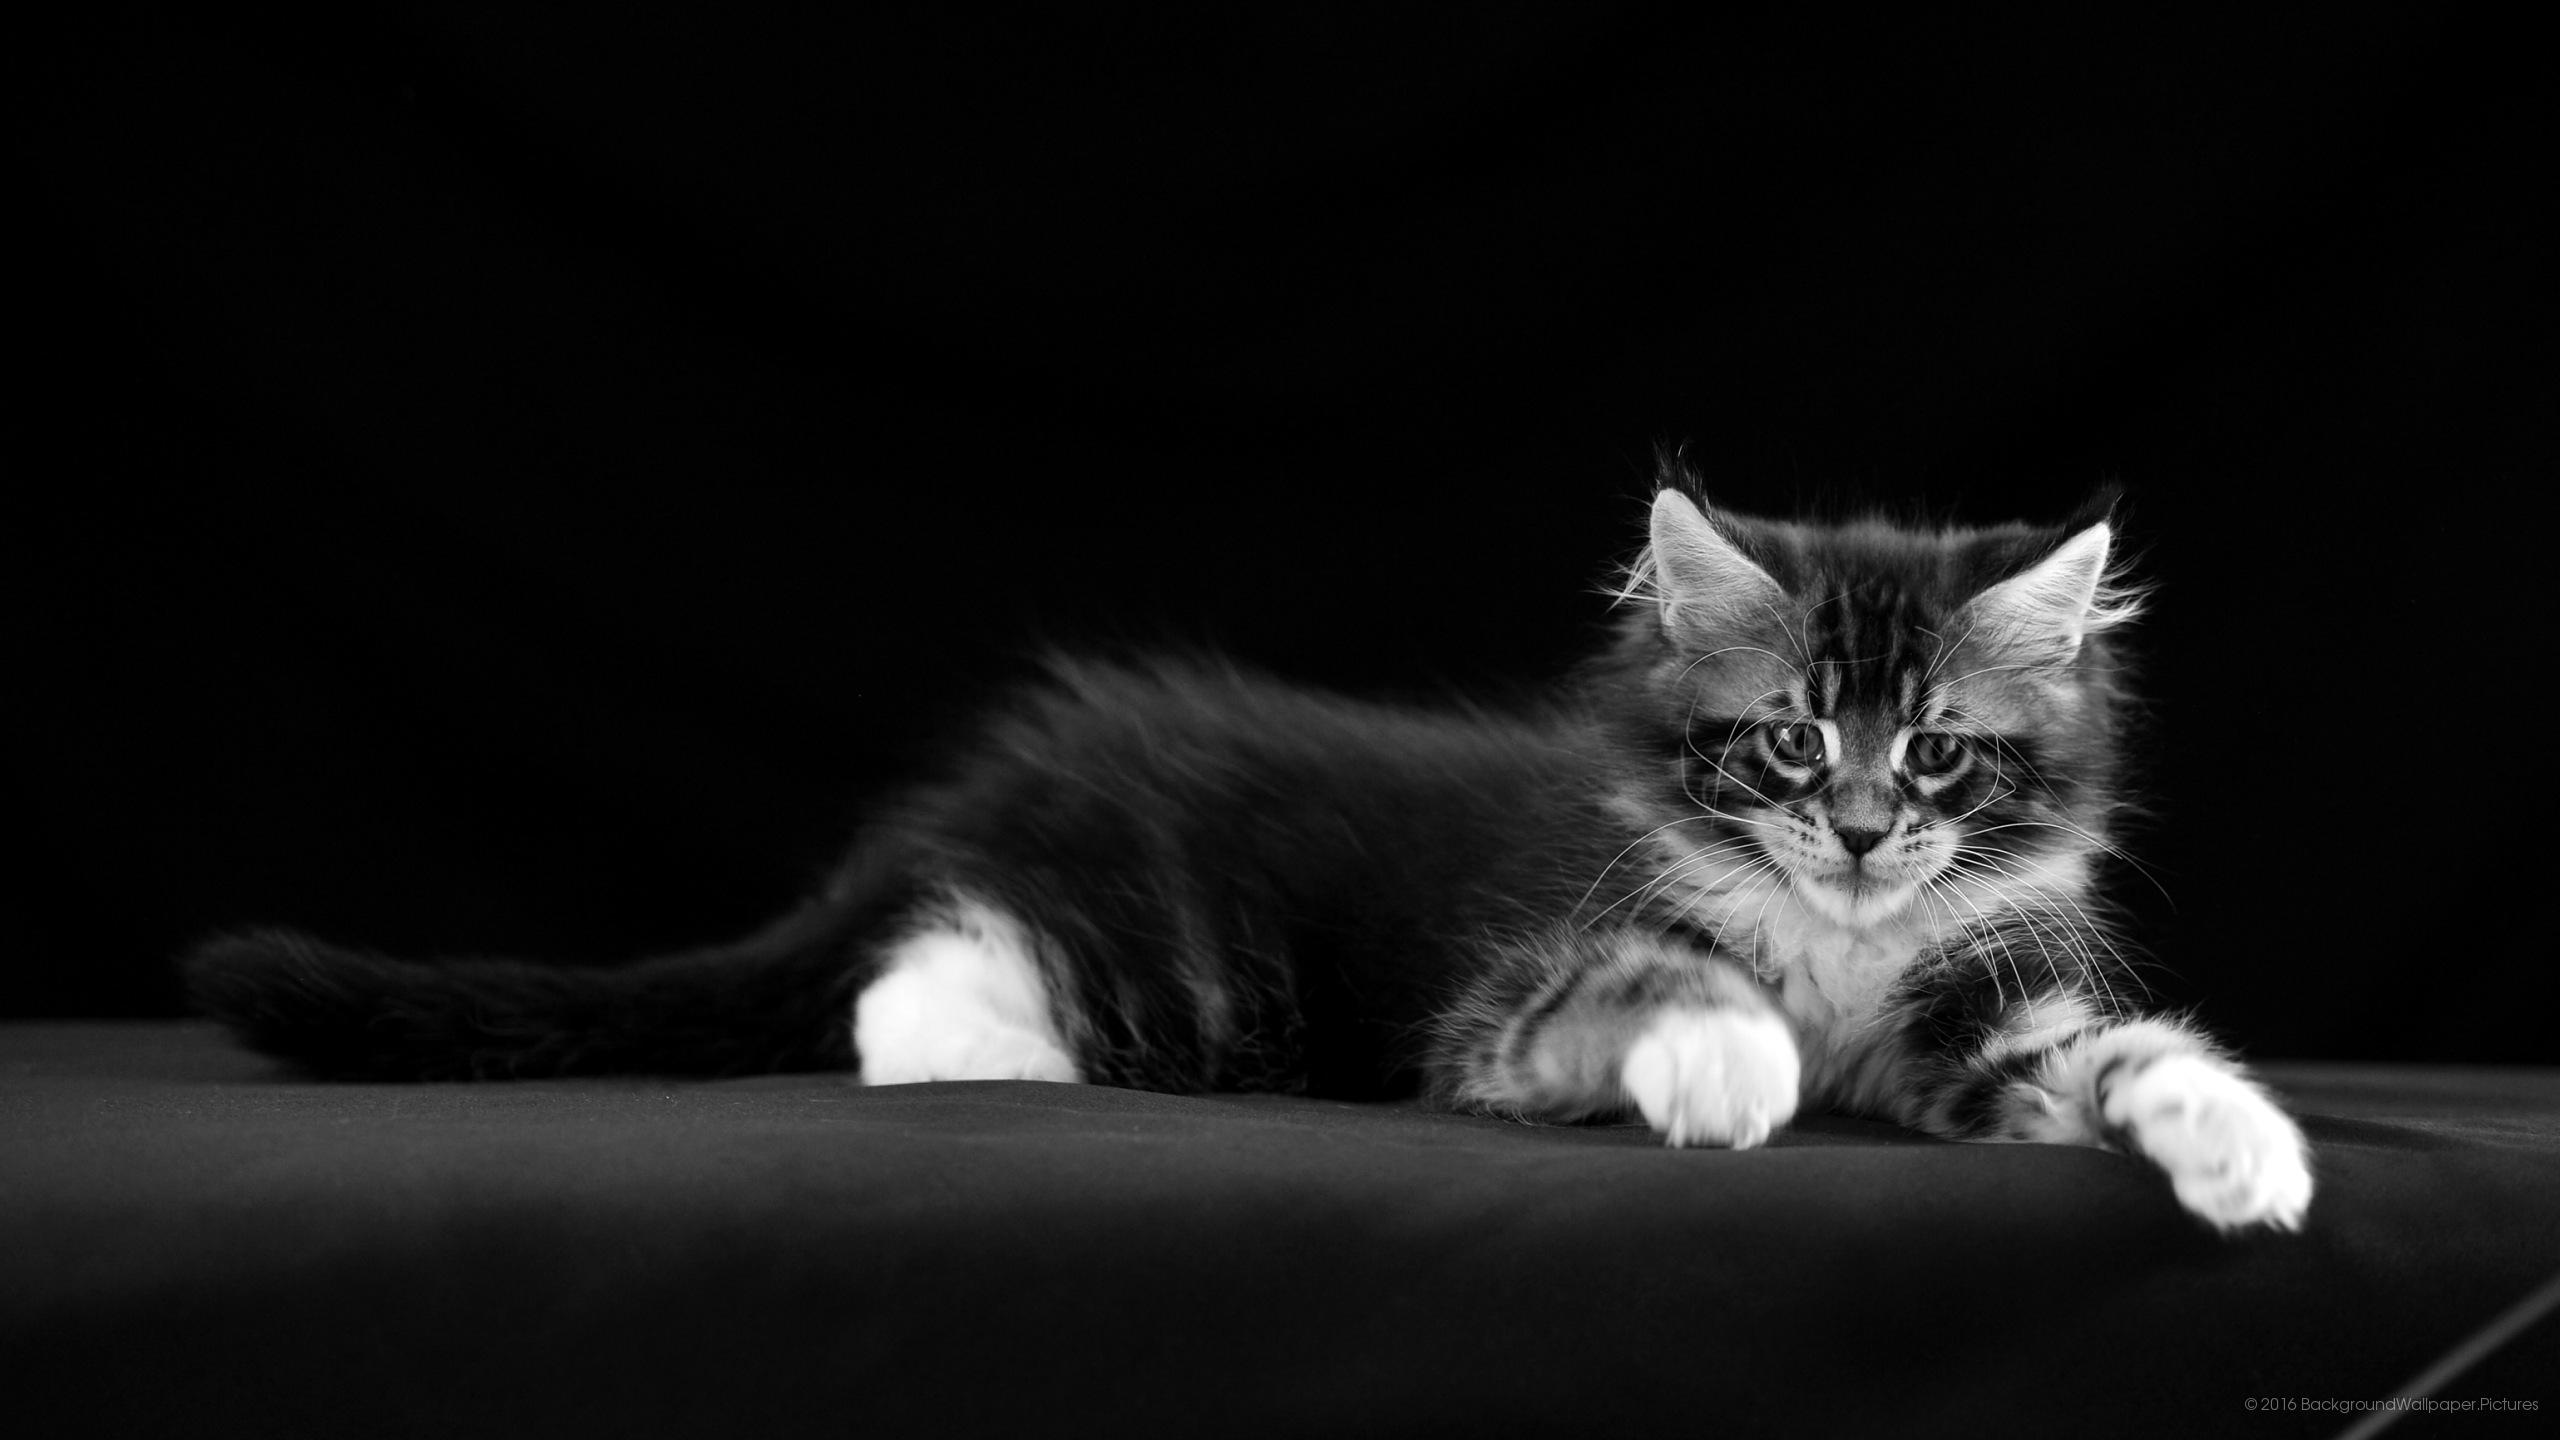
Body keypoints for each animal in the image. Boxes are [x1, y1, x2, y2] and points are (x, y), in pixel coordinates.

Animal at [185, 466, 2324, 1229]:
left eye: (1942, 757)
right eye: (1791, 745)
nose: (1869, 833)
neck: (1841, 950)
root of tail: (997, 778)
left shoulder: (1975, 1019)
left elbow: (2116, 1055)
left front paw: (2244, 1148)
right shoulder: (1517, 994)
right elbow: (1660, 983)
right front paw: (1728, 1068)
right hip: (1179, 966)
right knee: (904, 992)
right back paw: (988, 1052)